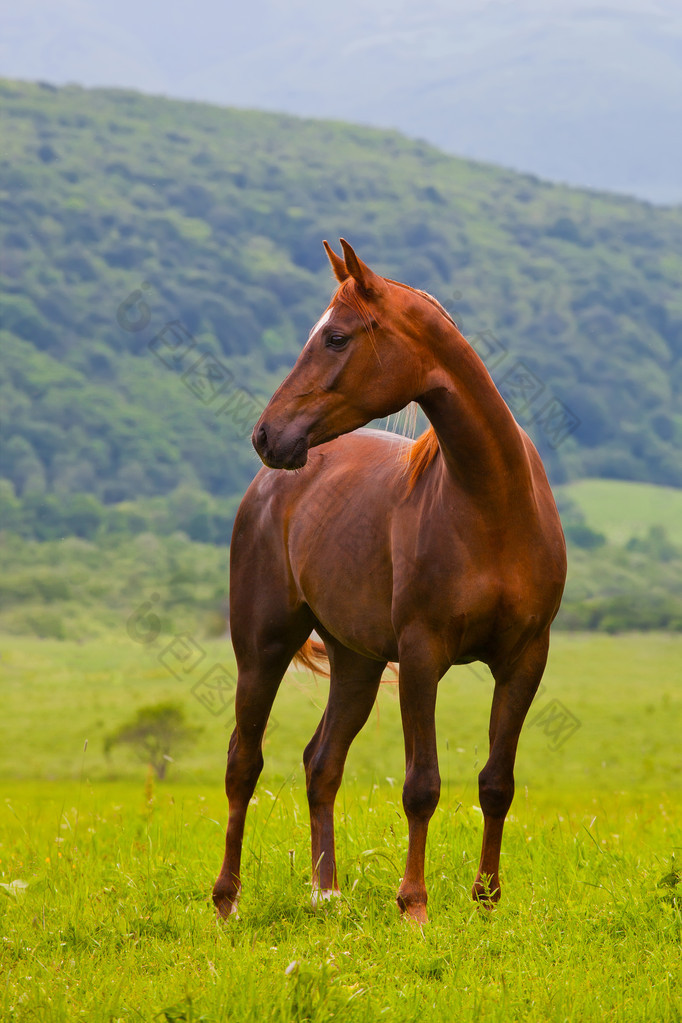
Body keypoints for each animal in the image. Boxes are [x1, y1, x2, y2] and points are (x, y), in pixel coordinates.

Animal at [213, 239, 564, 928]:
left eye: (337, 337)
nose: (267, 434)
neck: (492, 505)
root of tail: (268, 487)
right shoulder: (423, 656)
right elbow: (421, 785)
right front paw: (415, 905)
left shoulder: (524, 659)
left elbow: (497, 783)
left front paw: (487, 900)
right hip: (262, 649)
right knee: (245, 761)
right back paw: (227, 899)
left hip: (357, 662)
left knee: (321, 763)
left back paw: (326, 892)